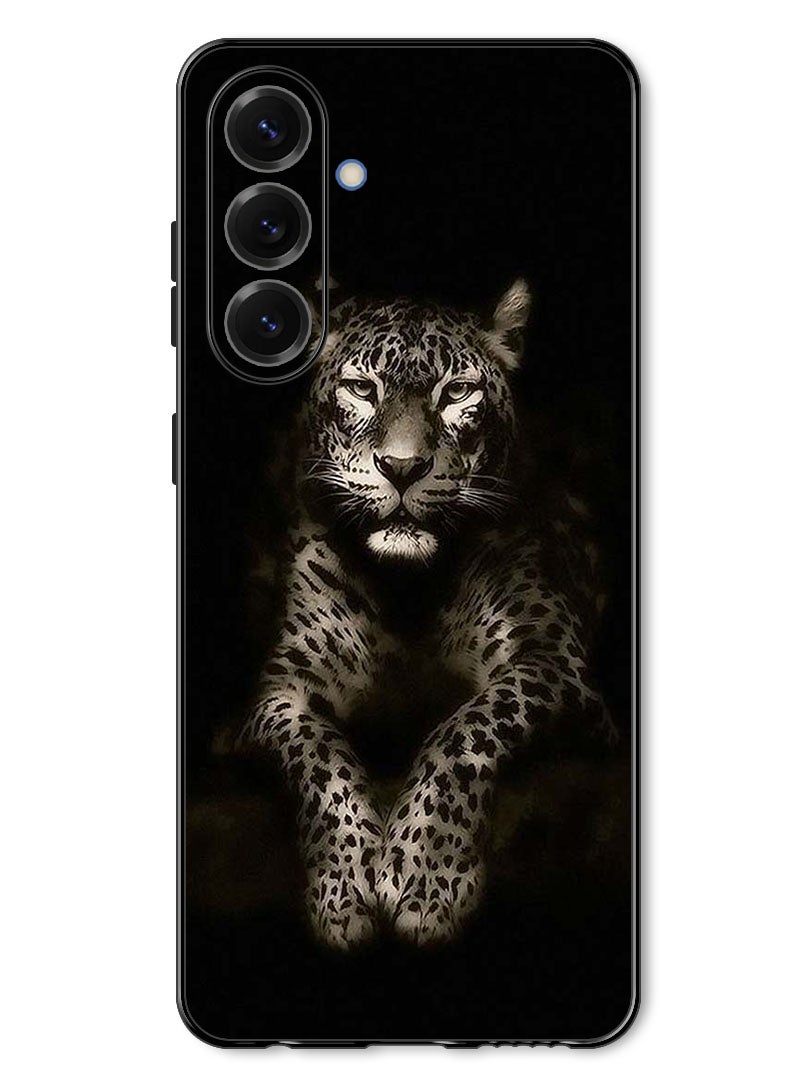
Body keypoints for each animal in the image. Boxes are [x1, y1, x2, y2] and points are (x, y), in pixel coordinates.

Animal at [238, 279, 616, 949]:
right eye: (363, 389)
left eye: (457, 391)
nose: (403, 467)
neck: (407, 591)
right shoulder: (280, 691)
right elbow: (318, 755)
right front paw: (344, 886)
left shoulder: (553, 661)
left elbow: (466, 729)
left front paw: (424, 876)